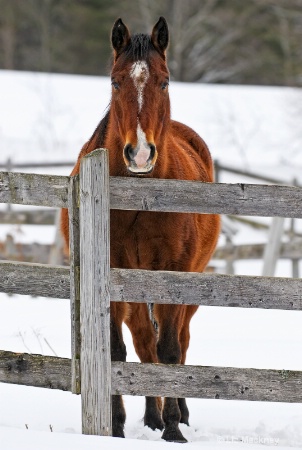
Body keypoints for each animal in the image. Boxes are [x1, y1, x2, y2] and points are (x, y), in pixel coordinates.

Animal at [60, 16, 219, 442]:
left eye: (164, 81)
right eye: (116, 82)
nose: (141, 153)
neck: (139, 200)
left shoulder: (172, 275)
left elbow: (169, 351)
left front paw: (173, 430)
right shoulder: (111, 276)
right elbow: (117, 352)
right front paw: (115, 427)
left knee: (178, 343)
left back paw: (176, 413)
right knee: (145, 341)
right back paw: (151, 415)